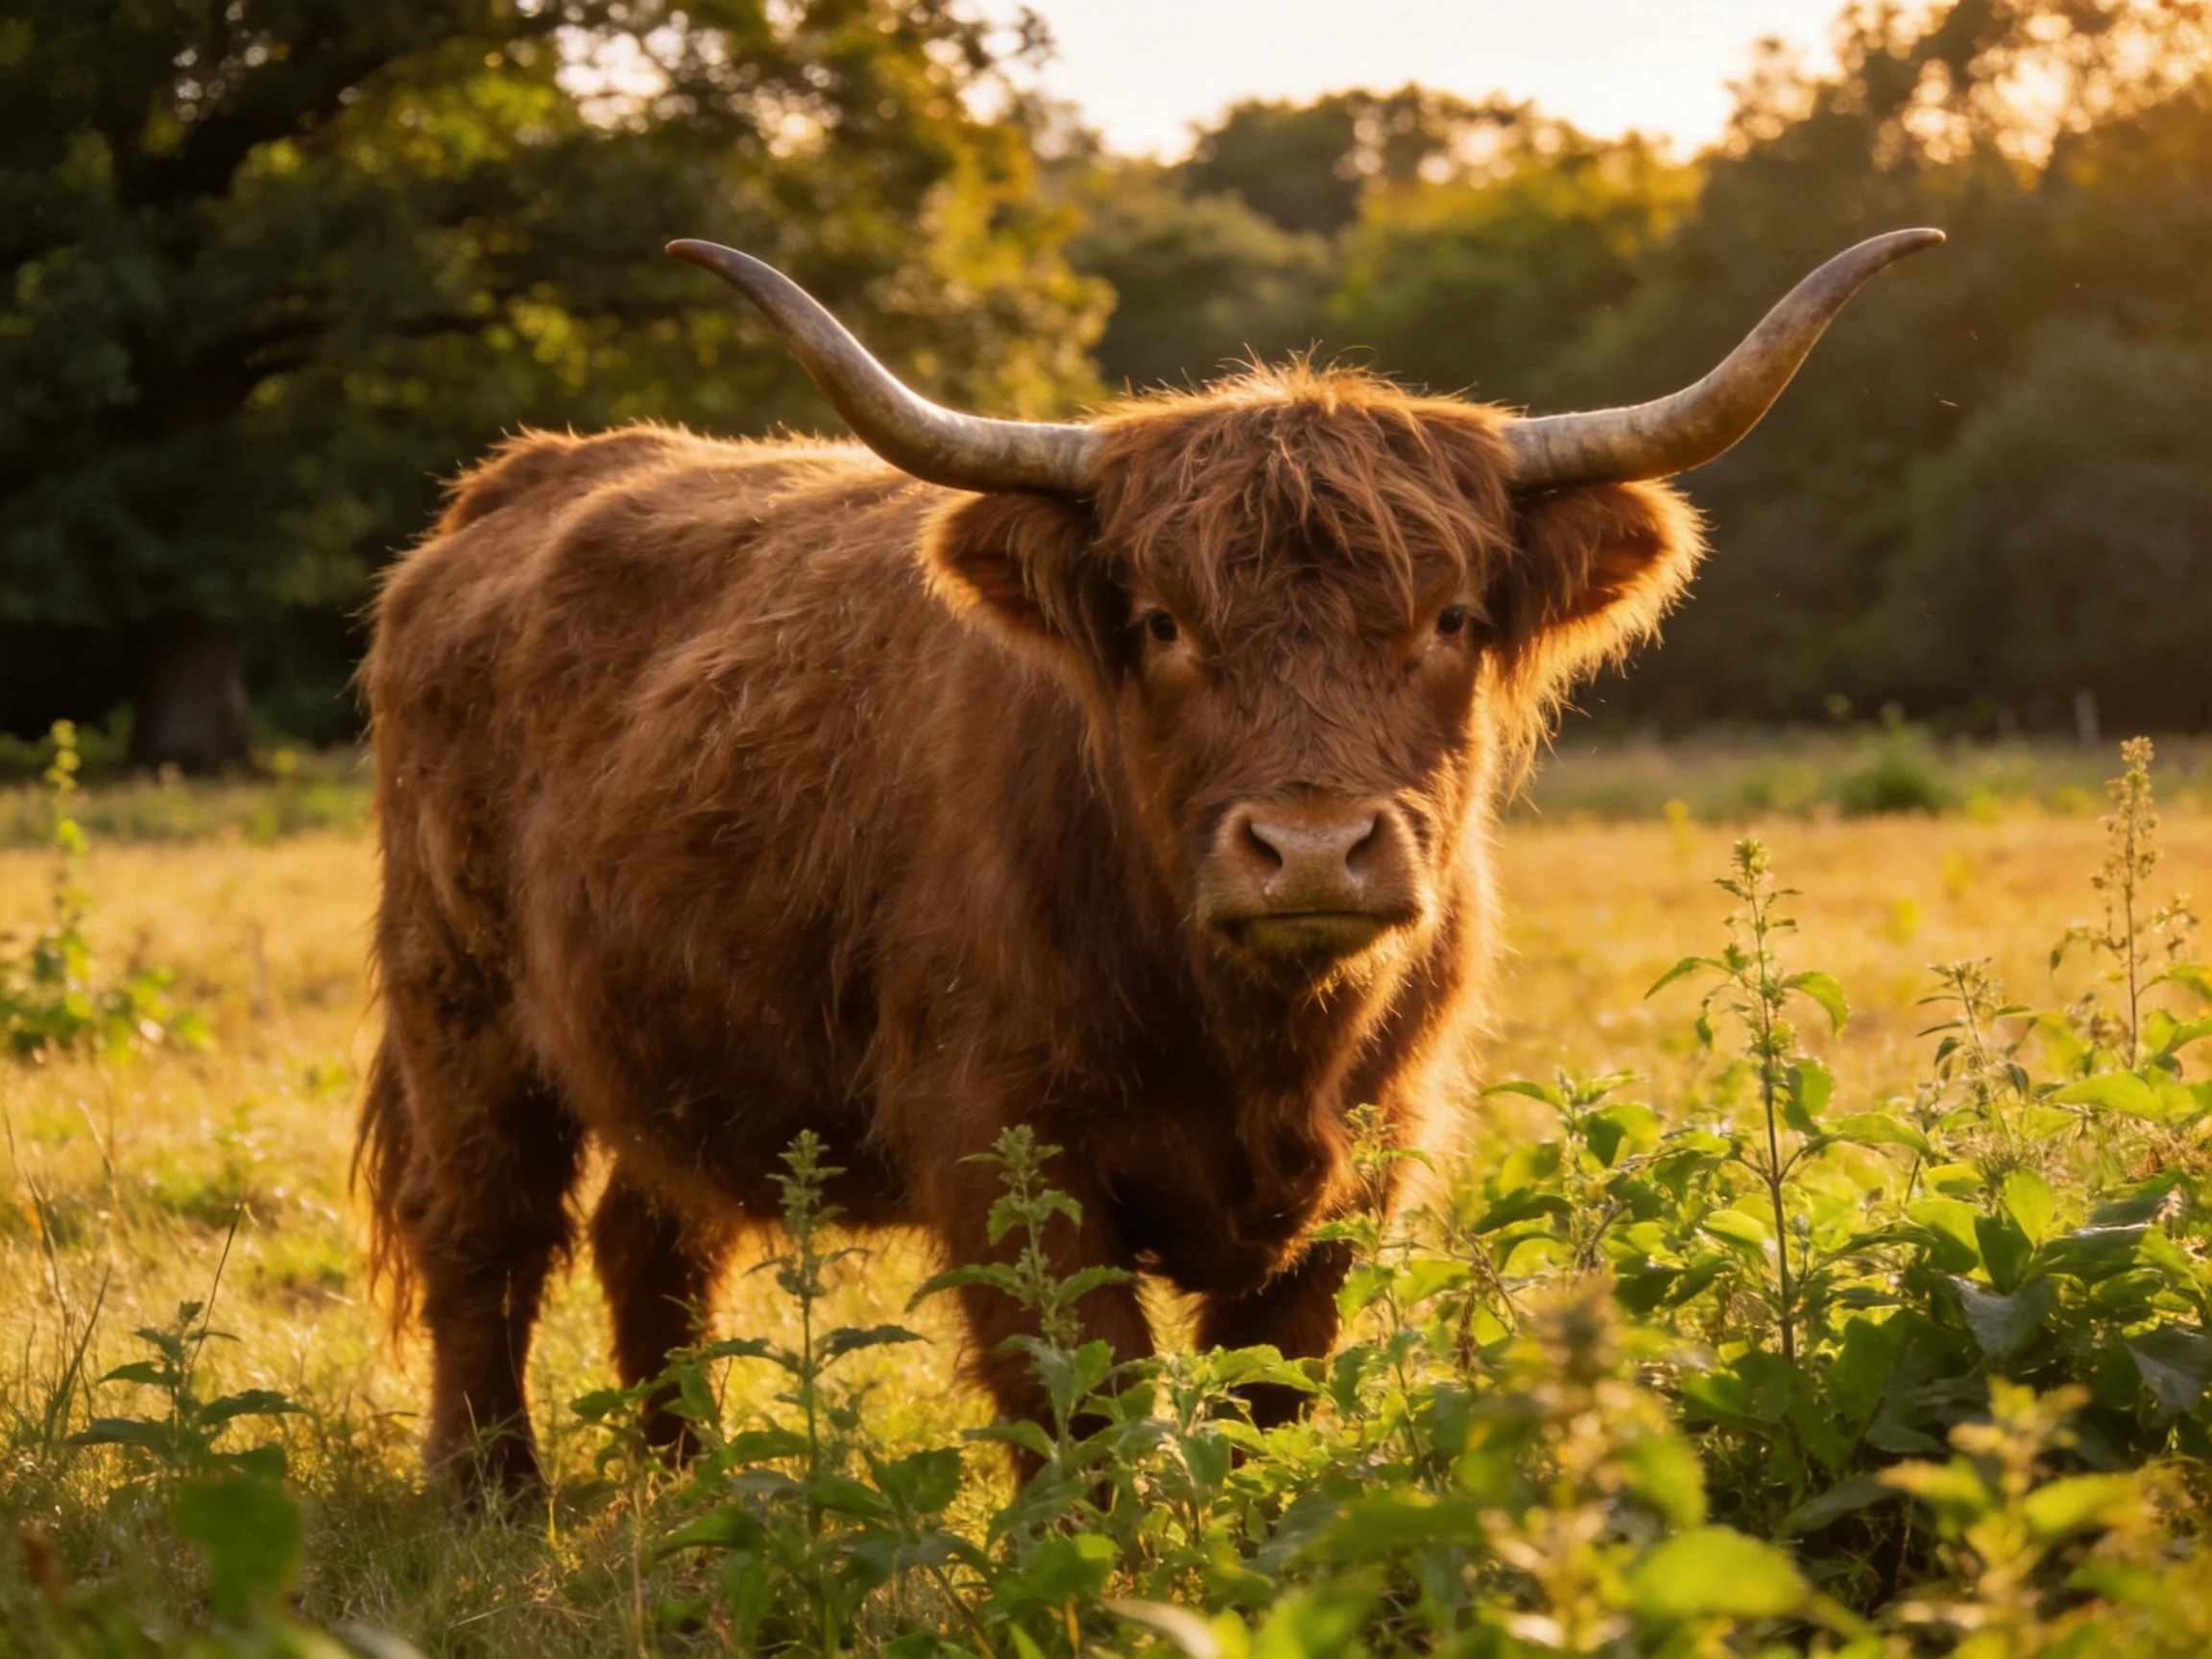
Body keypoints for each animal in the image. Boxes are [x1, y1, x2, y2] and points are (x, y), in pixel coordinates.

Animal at [358, 227, 1941, 1499]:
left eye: (1448, 618)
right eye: (1165, 623)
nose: (1311, 848)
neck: (1255, 1041)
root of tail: (524, 477)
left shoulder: (1364, 1160)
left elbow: (1270, 1402)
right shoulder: (1007, 1147)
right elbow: (1088, 1406)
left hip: (668, 1032)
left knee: (657, 1234)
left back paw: (694, 1488)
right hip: (461, 1000)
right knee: (485, 1231)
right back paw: (496, 1493)